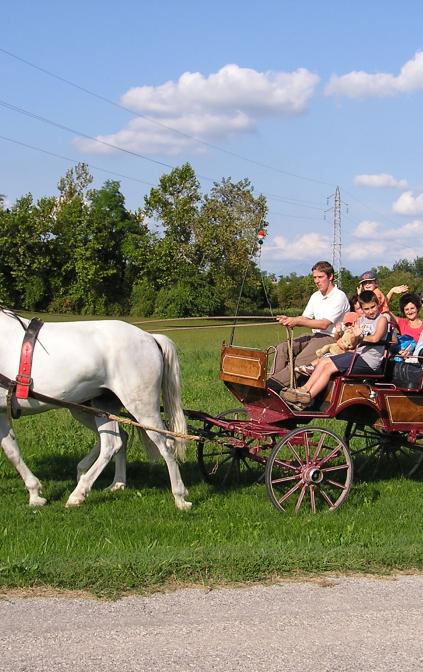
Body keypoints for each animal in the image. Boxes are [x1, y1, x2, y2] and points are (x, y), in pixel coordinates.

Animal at [0, 308, 190, 510]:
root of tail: (150, 337)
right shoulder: (2, 412)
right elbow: (12, 451)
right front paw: (35, 494)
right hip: (100, 406)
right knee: (114, 442)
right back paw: (111, 484)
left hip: (143, 409)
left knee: (166, 445)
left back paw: (179, 497)